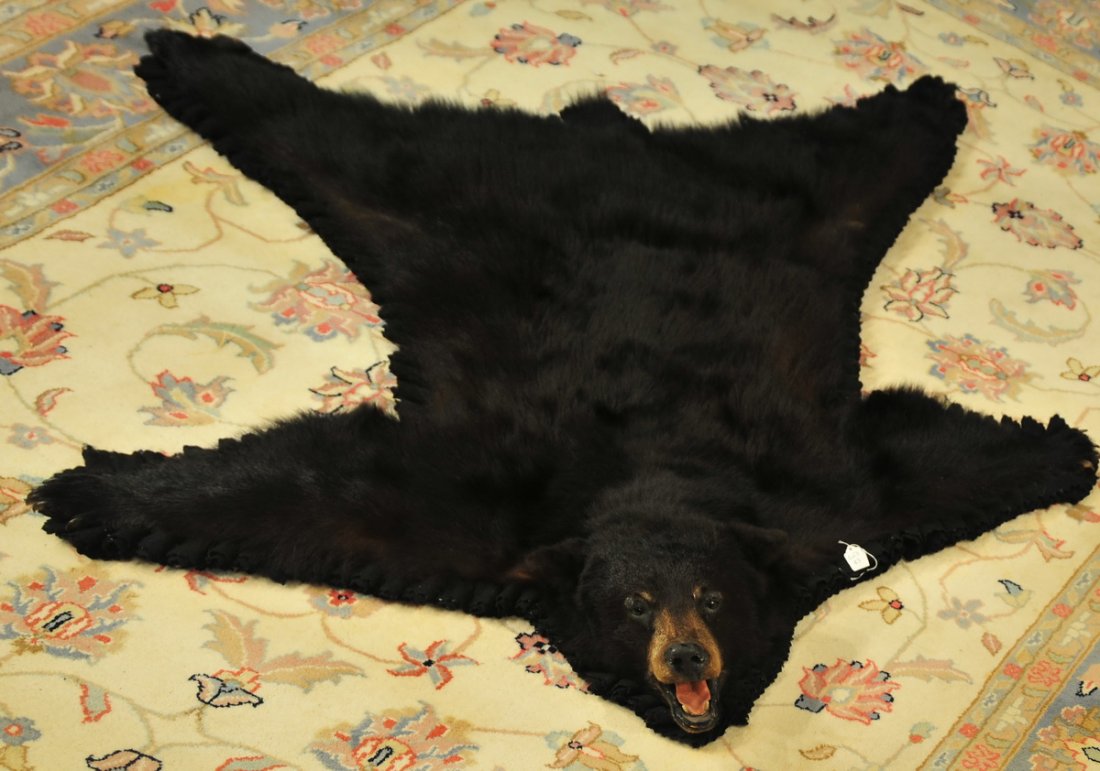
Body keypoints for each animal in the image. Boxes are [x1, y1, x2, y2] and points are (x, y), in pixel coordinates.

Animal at [29, 30, 1098, 744]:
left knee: (855, 156)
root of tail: (606, 144)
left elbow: (929, 467)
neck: (661, 478)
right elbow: (322, 498)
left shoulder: (834, 492)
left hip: (810, 217)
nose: (686, 659)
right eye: (632, 603)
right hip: (434, 197)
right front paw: (91, 491)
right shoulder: (470, 513)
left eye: (714, 597)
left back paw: (928, 102)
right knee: (331, 141)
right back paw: (187, 57)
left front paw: (1058, 445)